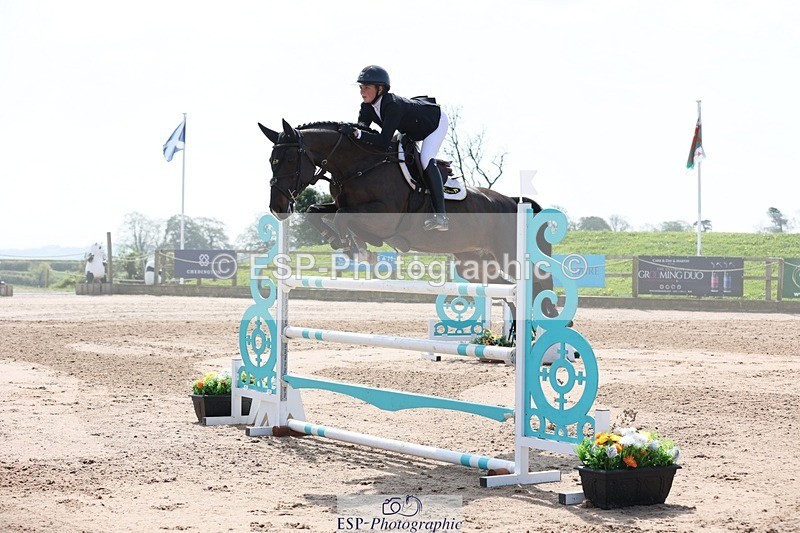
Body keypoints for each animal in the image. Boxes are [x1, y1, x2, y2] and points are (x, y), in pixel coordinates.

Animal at [258, 119, 558, 318]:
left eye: (287, 160)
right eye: (271, 161)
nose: (277, 207)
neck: (360, 165)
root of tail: (513, 201)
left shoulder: (384, 218)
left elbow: (344, 219)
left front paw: (359, 250)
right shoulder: (343, 204)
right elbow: (316, 212)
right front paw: (337, 241)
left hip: (509, 254)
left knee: (540, 280)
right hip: (474, 265)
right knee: (509, 292)